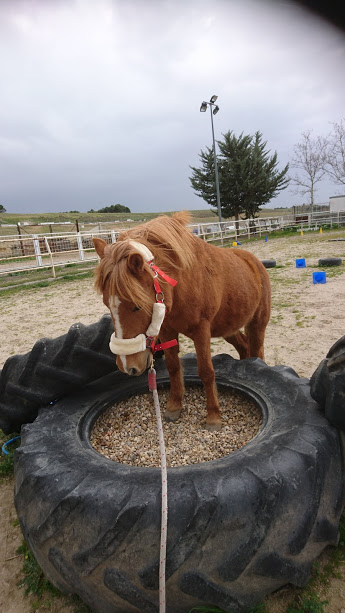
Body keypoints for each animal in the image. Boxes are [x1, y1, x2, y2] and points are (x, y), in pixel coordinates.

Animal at [92, 213, 270, 428]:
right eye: (106, 304)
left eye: (137, 305)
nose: (127, 366)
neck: (182, 285)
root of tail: (254, 262)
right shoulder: (167, 330)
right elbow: (173, 367)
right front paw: (174, 406)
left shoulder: (201, 331)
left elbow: (206, 372)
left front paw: (213, 416)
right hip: (228, 327)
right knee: (244, 347)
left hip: (257, 324)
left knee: (257, 351)